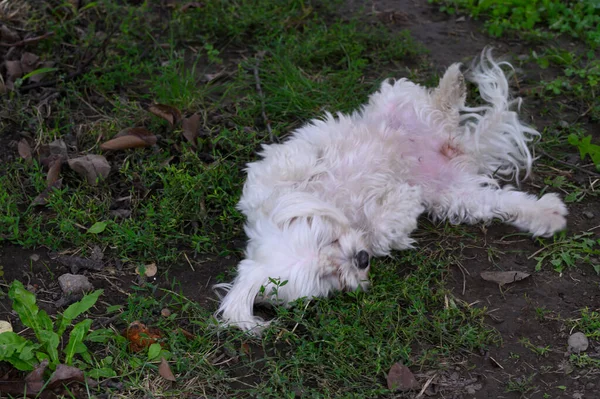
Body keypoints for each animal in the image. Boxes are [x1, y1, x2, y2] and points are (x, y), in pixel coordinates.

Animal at [214, 48, 568, 332]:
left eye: (327, 238)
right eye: (328, 279)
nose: (359, 260)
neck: (345, 210)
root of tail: (457, 148)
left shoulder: (272, 172)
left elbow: (293, 169)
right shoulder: (383, 234)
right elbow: (385, 230)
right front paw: (402, 199)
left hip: (397, 99)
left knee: (438, 107)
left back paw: (452, 84)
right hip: (457, 197)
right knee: (500, 200)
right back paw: (547, 214)